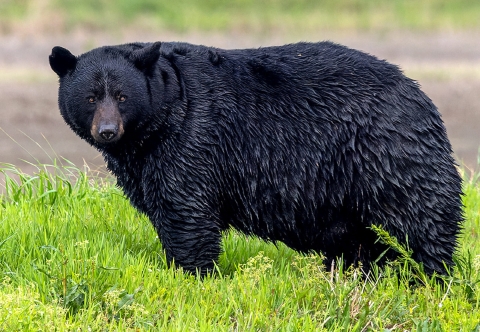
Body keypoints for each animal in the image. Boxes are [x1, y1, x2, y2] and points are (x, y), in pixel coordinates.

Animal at [47, 40, 462, 274]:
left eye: (121, 96)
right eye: (90, 97)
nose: (107, 131)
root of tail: (421, 95)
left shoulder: (193, 138)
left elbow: (186, 210)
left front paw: (192, 274)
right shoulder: (143, 162)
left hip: (387, 154)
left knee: (419, 219)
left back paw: (428, 277)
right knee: (357, 241)